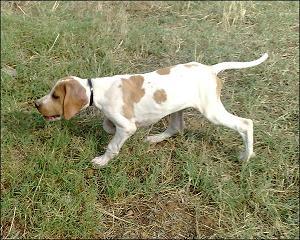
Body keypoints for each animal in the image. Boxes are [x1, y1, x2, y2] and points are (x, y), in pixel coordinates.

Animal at [34, 53, 268, 167]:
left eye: (56, 96)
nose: (36, 104)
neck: (97, 89)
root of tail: (211, 70)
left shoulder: (126, 127)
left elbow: (112, 145)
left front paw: (102, 161)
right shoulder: (120, 121)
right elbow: (107, 126)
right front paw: (110, 129)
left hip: (212, 111)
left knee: (245, 123)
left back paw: (246, 156)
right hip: (177, 107)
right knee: (176, 127)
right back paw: (155, 138)